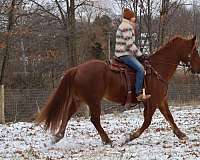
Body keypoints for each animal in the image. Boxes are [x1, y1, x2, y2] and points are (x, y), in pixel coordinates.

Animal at [36, 35, 200, 145]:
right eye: (195, 50)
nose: (198, 68)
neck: (157, 69)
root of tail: (77, 69)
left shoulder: (161, 101)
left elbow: (169, 117)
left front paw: (181, 134)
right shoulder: (153, 102)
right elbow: (147, 122)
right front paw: (129, 137)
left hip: (78, 100)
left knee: (67, 115)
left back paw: (57, 137)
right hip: (94, 101)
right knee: (94, 119)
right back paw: (107, 140)